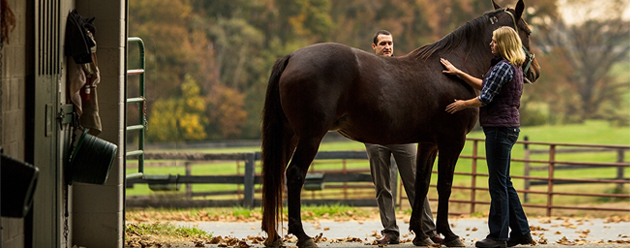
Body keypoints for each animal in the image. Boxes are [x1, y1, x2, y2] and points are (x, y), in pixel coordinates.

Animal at [262, 0, 544, 246]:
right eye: (528, 31)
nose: (534, 72)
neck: (454, 70)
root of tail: (292, 57)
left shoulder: (429, 143)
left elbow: (421, 184)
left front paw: (421, 235)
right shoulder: (452, 141)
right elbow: (444, 185)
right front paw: (449, 234)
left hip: (290, 135)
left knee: (276, 175)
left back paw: (274, 237)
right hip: (310, 136)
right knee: (294, 174)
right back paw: (303, 237)